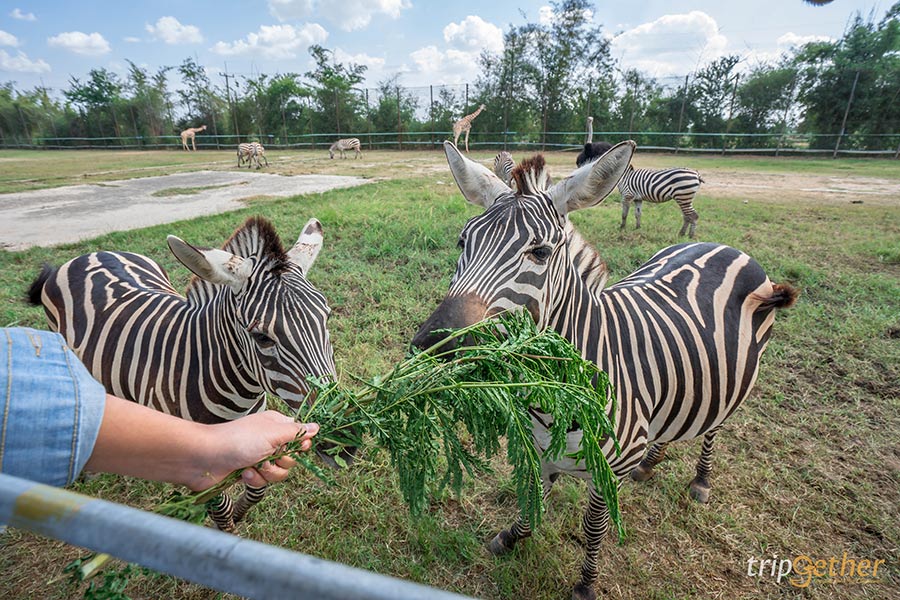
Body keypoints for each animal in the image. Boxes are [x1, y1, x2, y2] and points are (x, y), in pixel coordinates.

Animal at [28, 216, 340, 531]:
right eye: (262, 337)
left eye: (326, 317)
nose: (341, 441)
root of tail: (92, 253)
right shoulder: (201, 459)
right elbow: (220, 510)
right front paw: (225, 530)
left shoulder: (255, 435)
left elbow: (257, 488)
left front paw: (241, 512)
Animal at [411, 141, 798, 600]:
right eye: (462, 241)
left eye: (540, 253)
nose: (434, 345)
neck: (550, 400)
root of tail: (726, 246)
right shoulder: (539, 449)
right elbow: (531, 498)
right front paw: (510, 537)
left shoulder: (607, 472)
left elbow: (593, 528)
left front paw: (585, 584)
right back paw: (651, 462)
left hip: (733, 381)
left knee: (714, 427)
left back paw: (701, 480)